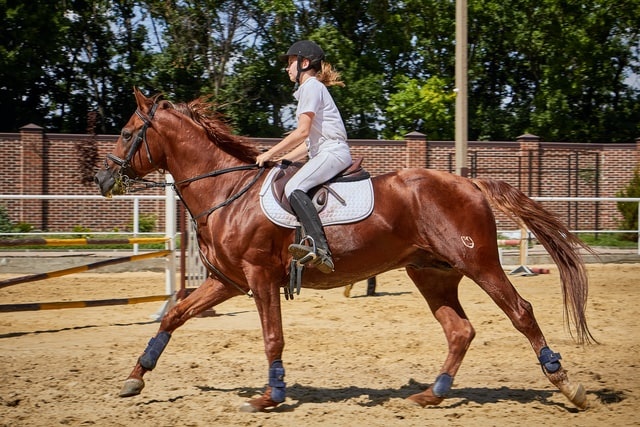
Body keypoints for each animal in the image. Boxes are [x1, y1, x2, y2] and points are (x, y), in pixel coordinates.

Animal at [94, 88, 596, 412]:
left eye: (126, 133)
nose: (102, 179)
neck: (226, 192)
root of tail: (468, 182)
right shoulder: (228, 282)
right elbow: (174, 315)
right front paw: (136, 376)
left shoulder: (259, 278)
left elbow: (272, 336)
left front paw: (270, 396)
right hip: (432, 272)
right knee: (459, 331)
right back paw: (432, 393)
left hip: (478, 262)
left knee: (521, 312)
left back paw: (567, 385)